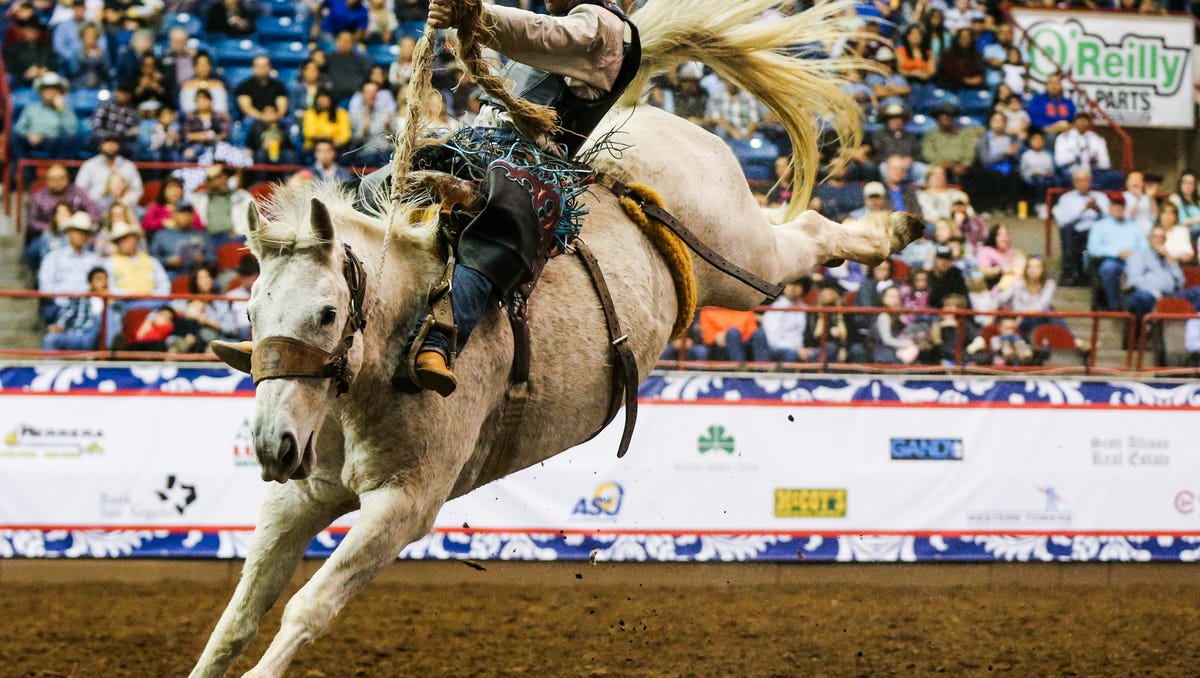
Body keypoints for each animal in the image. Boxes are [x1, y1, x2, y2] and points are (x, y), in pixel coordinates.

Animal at [189, 2, 916, 672]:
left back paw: (890, 231)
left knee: (807, 234)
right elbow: (233, 622)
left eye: (325, 313)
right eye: (249, 313)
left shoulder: (405, 503)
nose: (273, 444)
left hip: (745, 262)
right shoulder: (299, 496)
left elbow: (308, 609)